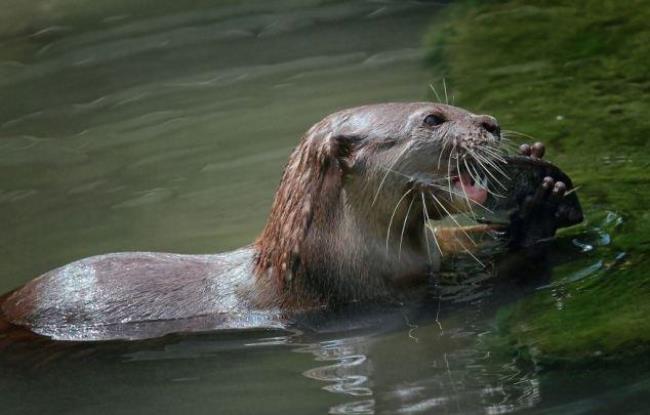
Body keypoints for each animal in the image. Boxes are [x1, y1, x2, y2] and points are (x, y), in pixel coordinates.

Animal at [0, 101, 576, 342]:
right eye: (433, 118)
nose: (491, 123)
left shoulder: (433, 254)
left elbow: (463, 240)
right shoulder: (381, 292)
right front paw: (537, 212)